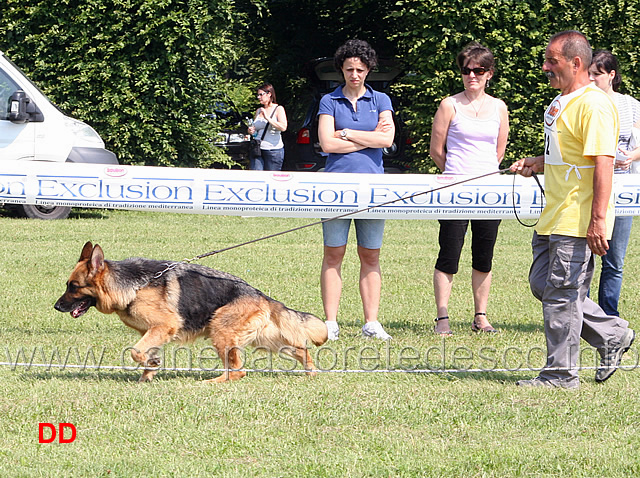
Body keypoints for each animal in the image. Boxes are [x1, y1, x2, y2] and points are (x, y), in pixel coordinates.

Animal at [52, 241, 328, 382]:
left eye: (73, 286)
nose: (56, 306)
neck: (133, 286)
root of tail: (259, 294)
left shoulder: (164, 326)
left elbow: (135, 352)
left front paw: (150, 365)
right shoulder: (154, 332)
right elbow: (146, 352)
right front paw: (149, 372)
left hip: (220, 332)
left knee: (238, 370)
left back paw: (212, 383)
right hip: (264, 338)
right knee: (300, 349)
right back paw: (310, 371)